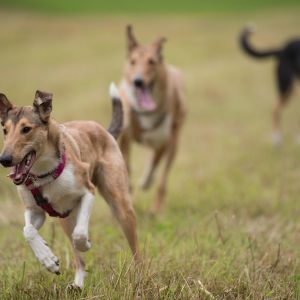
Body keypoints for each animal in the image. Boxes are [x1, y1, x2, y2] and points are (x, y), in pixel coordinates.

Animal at [0, 84, 139, 288]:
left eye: (26, 129)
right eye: (5, 130)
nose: (4, 159)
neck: (44, 174)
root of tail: (103, 130)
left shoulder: (88, 192)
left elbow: (79, 234)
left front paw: (86, 243)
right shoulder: (35, 210)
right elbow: (28, 231)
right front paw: (48, 260)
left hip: (121, 206)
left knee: (136, 251)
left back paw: (140, 275)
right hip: (65, 219)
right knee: (79, 261)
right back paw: (77, 286)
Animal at [119, 25, 185, 213]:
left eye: (152, 62)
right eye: (133, 61)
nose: (138, 81)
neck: (146, 112)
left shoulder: (165, 142)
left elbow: (157, 170)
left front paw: (148, 187)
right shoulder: (124, 138)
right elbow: (127, 168)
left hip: (172, 143)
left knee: (160, 172)